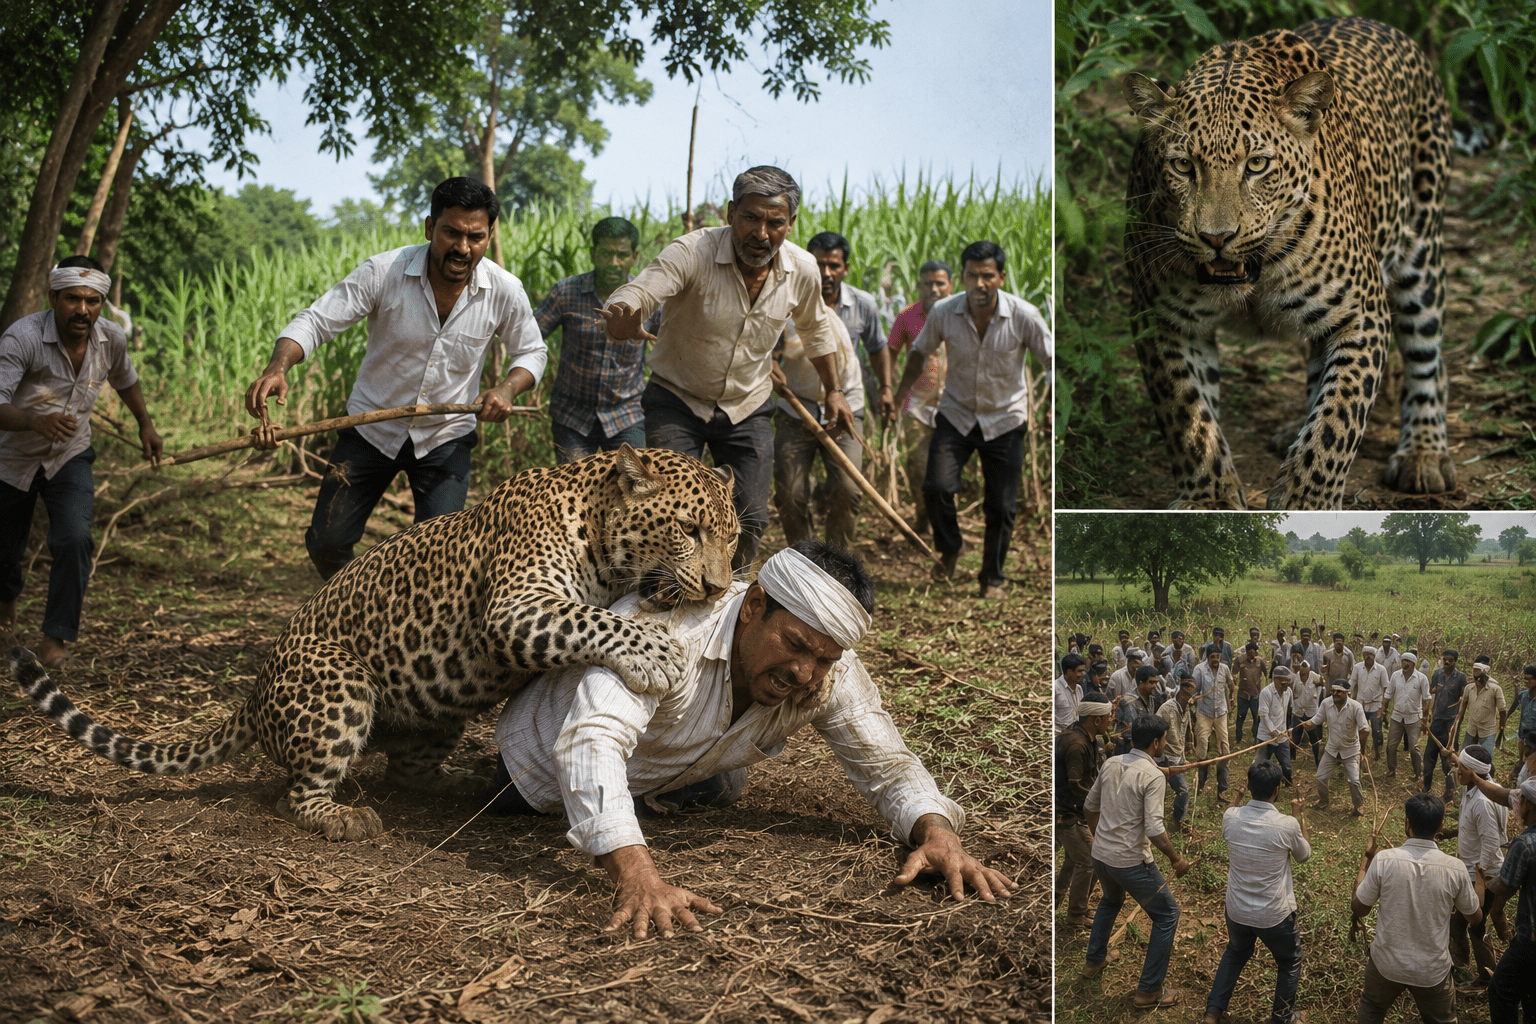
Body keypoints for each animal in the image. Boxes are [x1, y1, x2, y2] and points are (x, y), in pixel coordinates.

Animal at [11, 445, 739, 841]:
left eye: (732, 537)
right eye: (688, 530)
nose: (716, 583)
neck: (597, 528)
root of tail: (255, 692)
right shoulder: (513, 608)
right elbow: (595, 620)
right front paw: (658, 651)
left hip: (439, 709)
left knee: (407, 769)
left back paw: (459, 782)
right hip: (340, 683)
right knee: (298, 793)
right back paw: (343, 818)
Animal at [1122, 16, 1455, 509]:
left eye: (1257, 164)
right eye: (1182, 166)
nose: (1216, 238)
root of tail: (1385, 26)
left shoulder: (1362, 312)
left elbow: (1339, 418)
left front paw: (1306, 501)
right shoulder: (1162, 318)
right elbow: (1188, 417)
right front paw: (1210, 499)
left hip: (1422, 252)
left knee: (1428, 356)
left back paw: (1424, 454)